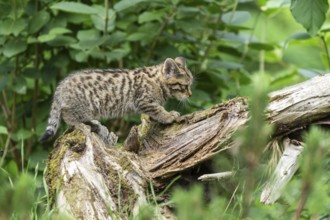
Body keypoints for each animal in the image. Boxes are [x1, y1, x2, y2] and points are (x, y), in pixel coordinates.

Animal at [39, 55, 193, 144]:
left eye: (190, 84)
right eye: (184, 86)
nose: (190, 94)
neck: (159, 83)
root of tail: (62, 85)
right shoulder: (143, 100)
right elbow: (157, 109)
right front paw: (168, 116)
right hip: (83, 105)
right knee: (68, 115)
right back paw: (81, 124)